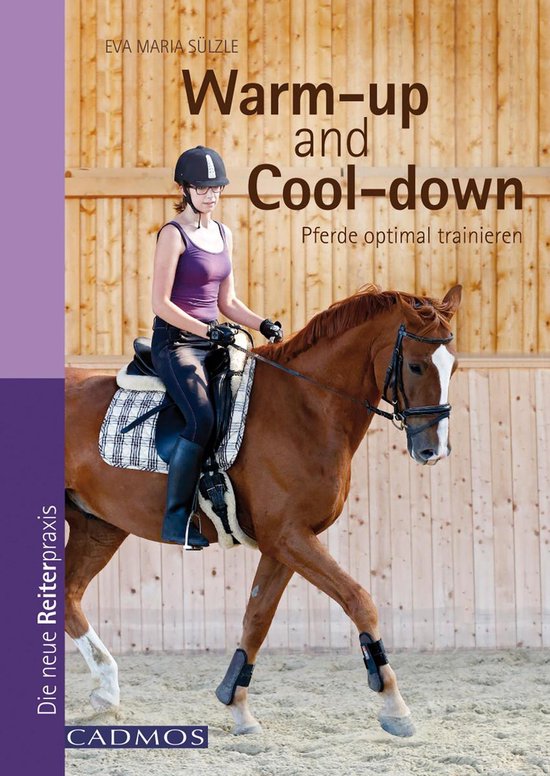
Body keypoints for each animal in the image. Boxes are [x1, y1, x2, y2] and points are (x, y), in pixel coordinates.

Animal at [65, 284, 462, 737]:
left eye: (452, 367)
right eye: (415, 366)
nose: (433, 450)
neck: (307, 405)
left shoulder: (285, 541)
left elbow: (256, 619)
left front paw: (237, 706)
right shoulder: (288, 536)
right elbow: (359, 600)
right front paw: (394, 704)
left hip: (98, 526)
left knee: (69, 596)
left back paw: (106, 691)